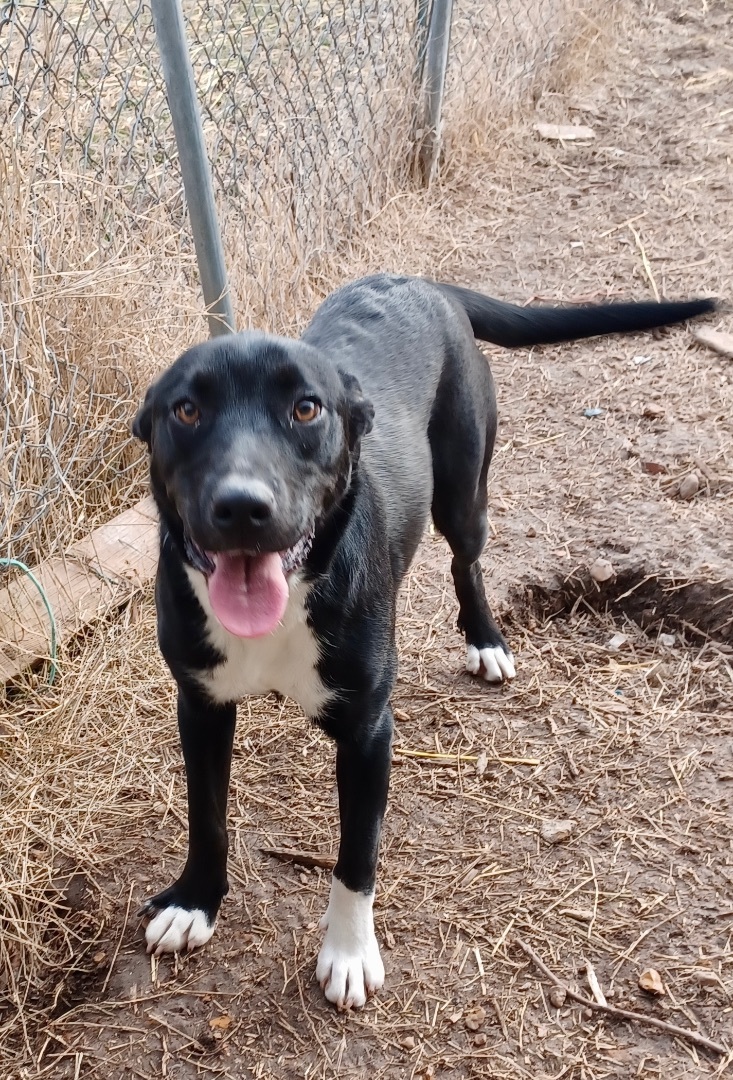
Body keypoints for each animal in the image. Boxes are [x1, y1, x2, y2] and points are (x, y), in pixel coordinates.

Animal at [133, 274, 716, 1006]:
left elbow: (357, 854)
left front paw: (349, 953)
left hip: (463, 490)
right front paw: (195, 901)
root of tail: (415, 280)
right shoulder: (201, 706)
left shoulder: (367, 730)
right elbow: (207, 816)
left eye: (305, 409)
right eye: (185, 411)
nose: (242, 506)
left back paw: (486, 639)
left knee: (466, 561)